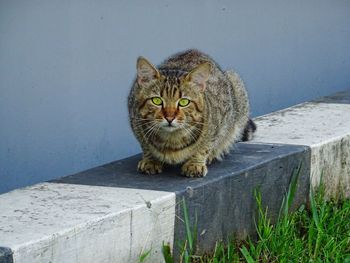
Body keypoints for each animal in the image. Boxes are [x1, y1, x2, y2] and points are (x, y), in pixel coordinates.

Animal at [127, 49, 256, 178]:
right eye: (157, 100)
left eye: (184, 102)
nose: (169, 117)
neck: (171, 139)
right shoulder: (135, 118)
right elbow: (145, 145)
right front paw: (151, 160)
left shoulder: (217, 121)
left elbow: (205, 146)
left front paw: (195, 163)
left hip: (235, 84)